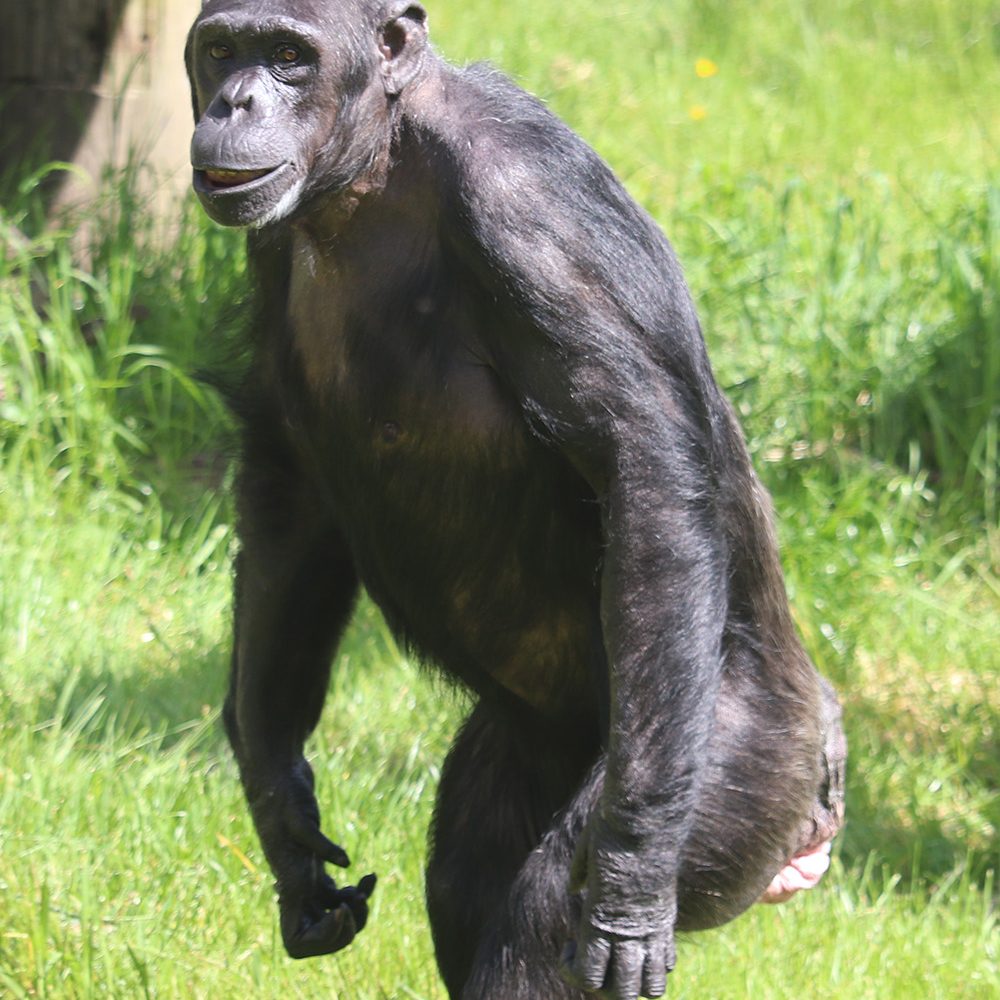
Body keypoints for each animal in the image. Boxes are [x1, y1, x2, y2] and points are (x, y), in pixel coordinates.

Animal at [186, 3, 844, 996]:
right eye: (221, 48)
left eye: (291, 56)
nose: (235, 100)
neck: (373, 172)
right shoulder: (268, 241)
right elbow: (289, 495)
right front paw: (279, 803)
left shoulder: (527, 205)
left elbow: (645, 468)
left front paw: (630, 886)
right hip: (532, 745)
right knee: (468, 875)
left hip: (748, 759)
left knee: (540, 912)